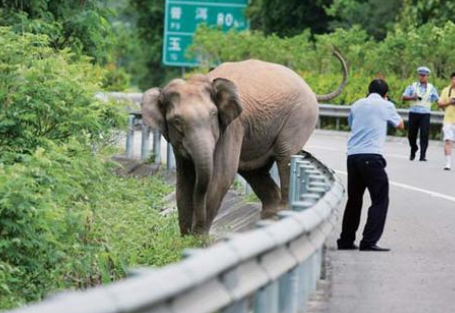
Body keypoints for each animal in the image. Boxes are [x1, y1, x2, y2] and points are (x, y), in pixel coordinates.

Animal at [142, 49, 350, 234]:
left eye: (213, 114)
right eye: (176, 120)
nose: (195, 229)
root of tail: (311, 90)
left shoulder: (232, 127)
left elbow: (221, 177)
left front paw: (197, 240)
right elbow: (183, 181)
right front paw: (185, 240)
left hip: (301, 115)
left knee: (284, 155)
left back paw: (282, 217)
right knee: (254, 171)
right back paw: (268, 221)